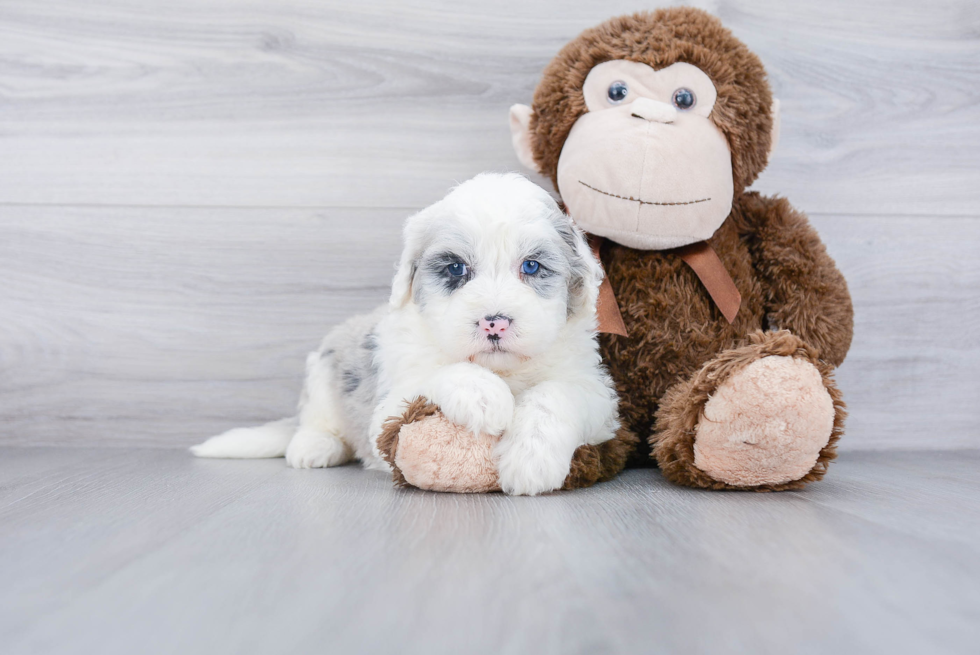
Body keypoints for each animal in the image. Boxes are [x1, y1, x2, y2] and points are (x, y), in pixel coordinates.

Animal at [191, 172, 620, 494]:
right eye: (455, 269)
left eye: (531, 267)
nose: (494, 322)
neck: (502, 369)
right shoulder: (387, 407)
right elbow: (437, 374)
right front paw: (484, 396)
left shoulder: (598, 397)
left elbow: (555, 395)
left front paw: (530, 461)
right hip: (323, 371)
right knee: (317, 420)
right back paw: (315, 446)